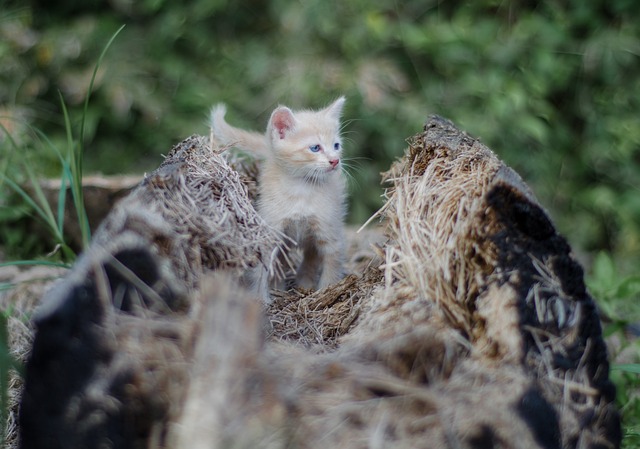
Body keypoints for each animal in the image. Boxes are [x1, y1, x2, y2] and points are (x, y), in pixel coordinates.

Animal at [211, 96, 348, 296]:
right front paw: (259, 297)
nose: (335, 160)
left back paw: (304, 283)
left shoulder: (329, 232)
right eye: (315, 148)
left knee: (310, 256)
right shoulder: (271, 230)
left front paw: (326, 290)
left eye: (336, 146)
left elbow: (331, 267)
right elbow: (262, 268)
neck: (301, 189)